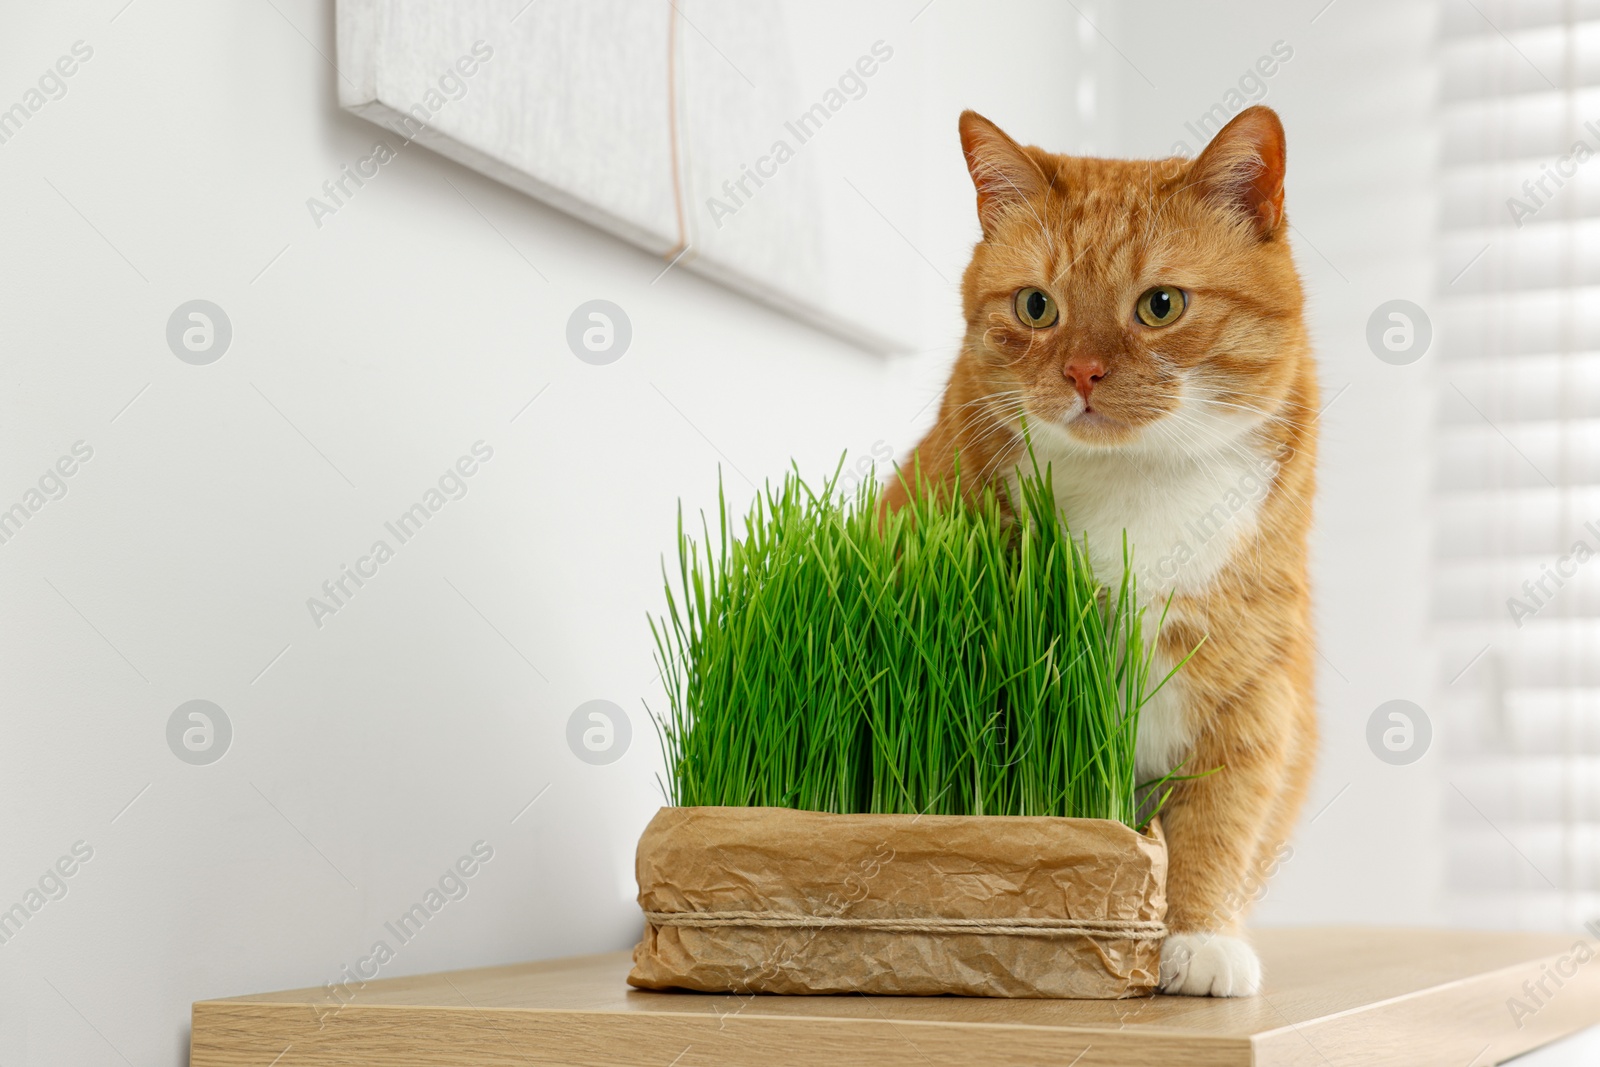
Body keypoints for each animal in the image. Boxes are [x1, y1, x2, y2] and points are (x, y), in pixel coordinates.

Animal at [883, 103, 1318, 998]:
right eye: (1035, 306)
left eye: (1161, 304)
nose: (1082, 371)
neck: (1136, 485)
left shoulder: (1253, 691)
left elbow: (1216, 827)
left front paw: (1197, 937)